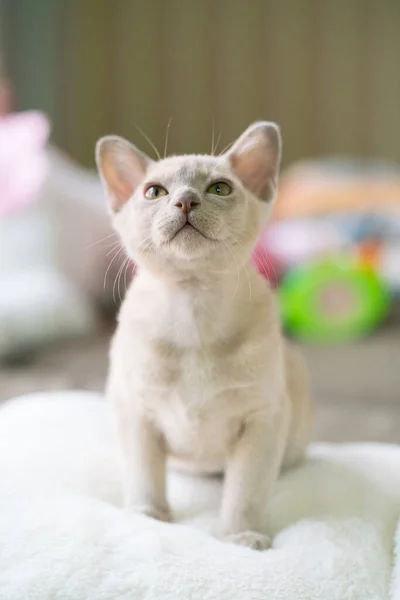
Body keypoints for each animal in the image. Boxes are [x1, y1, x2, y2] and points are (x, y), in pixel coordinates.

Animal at [96, 124, 312, 552]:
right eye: (154, 192)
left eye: (220, 189)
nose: (185, 201)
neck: (192, 309)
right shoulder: (137, 412)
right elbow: (145, 479)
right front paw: (148, 519)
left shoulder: (262, 419)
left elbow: (245, 492)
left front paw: (240, 538)